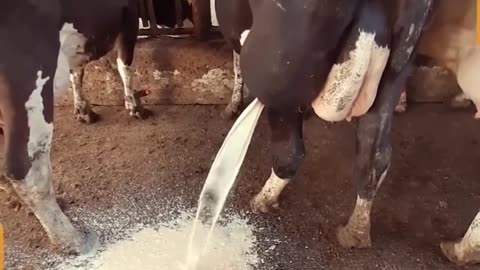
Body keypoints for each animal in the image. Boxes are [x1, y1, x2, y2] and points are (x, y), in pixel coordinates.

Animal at [0, 0, 188, 253]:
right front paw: (134, 106)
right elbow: (124, 64)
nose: (180, 17)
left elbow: (77, 72)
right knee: (24, 169)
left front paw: (83, 110)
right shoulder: (128, 16)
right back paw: (73, 240)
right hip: (30, 83)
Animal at [212, 0, 478, 266]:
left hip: (281, 70)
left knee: (290, 153)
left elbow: (236, 62)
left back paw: (262, 200)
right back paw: (356, 233)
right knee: (374, 157)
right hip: (395, 69)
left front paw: (233, 105)